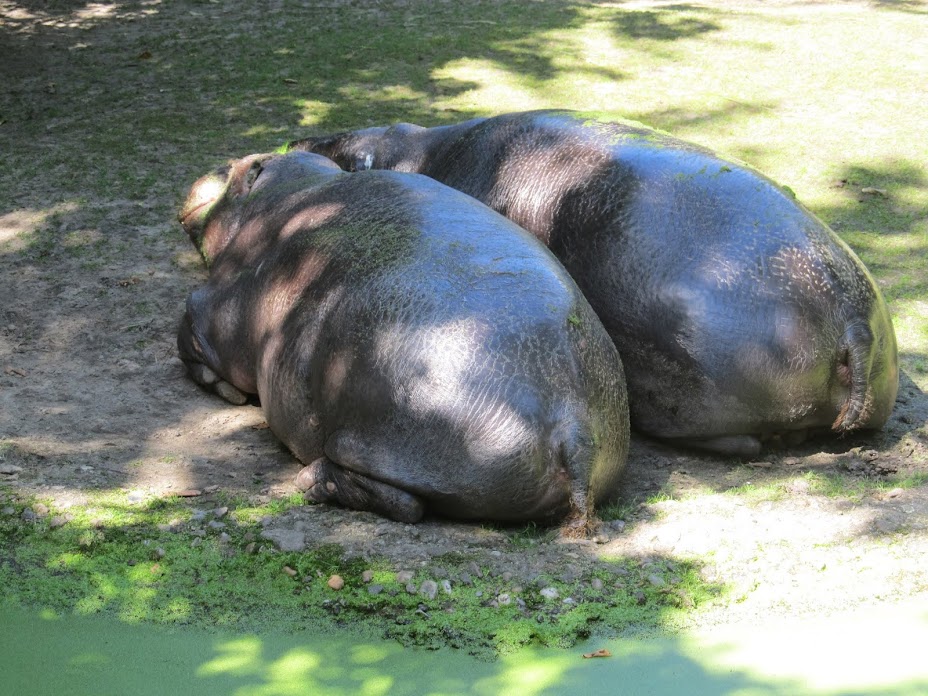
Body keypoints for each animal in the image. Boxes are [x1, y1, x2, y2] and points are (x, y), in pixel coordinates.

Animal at [178, 150, 628, 524]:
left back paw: (312, 482)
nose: (216, 164)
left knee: (401, 500)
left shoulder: (214, 310)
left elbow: (190, 334)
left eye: (237, 169)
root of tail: (573, 422)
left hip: (379, 442)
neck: (288, 191)